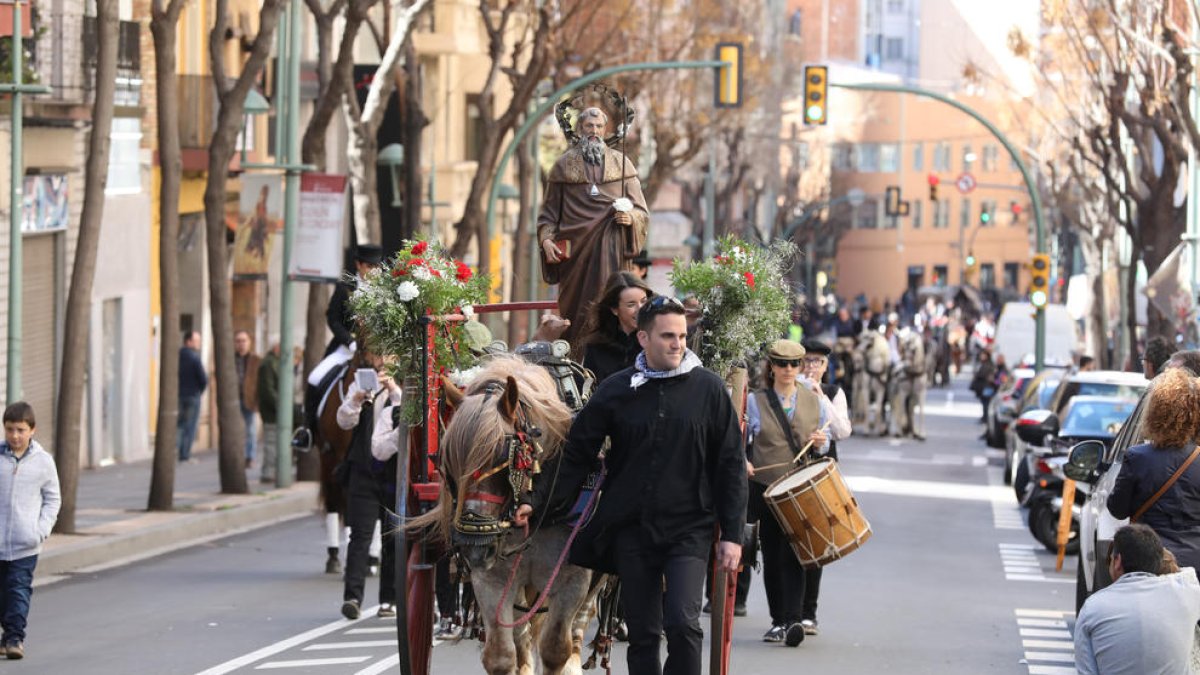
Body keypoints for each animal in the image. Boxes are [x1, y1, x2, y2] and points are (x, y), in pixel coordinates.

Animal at [412, 355, 595, 667]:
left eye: (503, 456)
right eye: (448, 460)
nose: (474, 546)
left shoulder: (573, 581)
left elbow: (555, 649)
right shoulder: (492, 578)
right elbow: (501, 654)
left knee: (577, 630)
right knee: (523, 637)